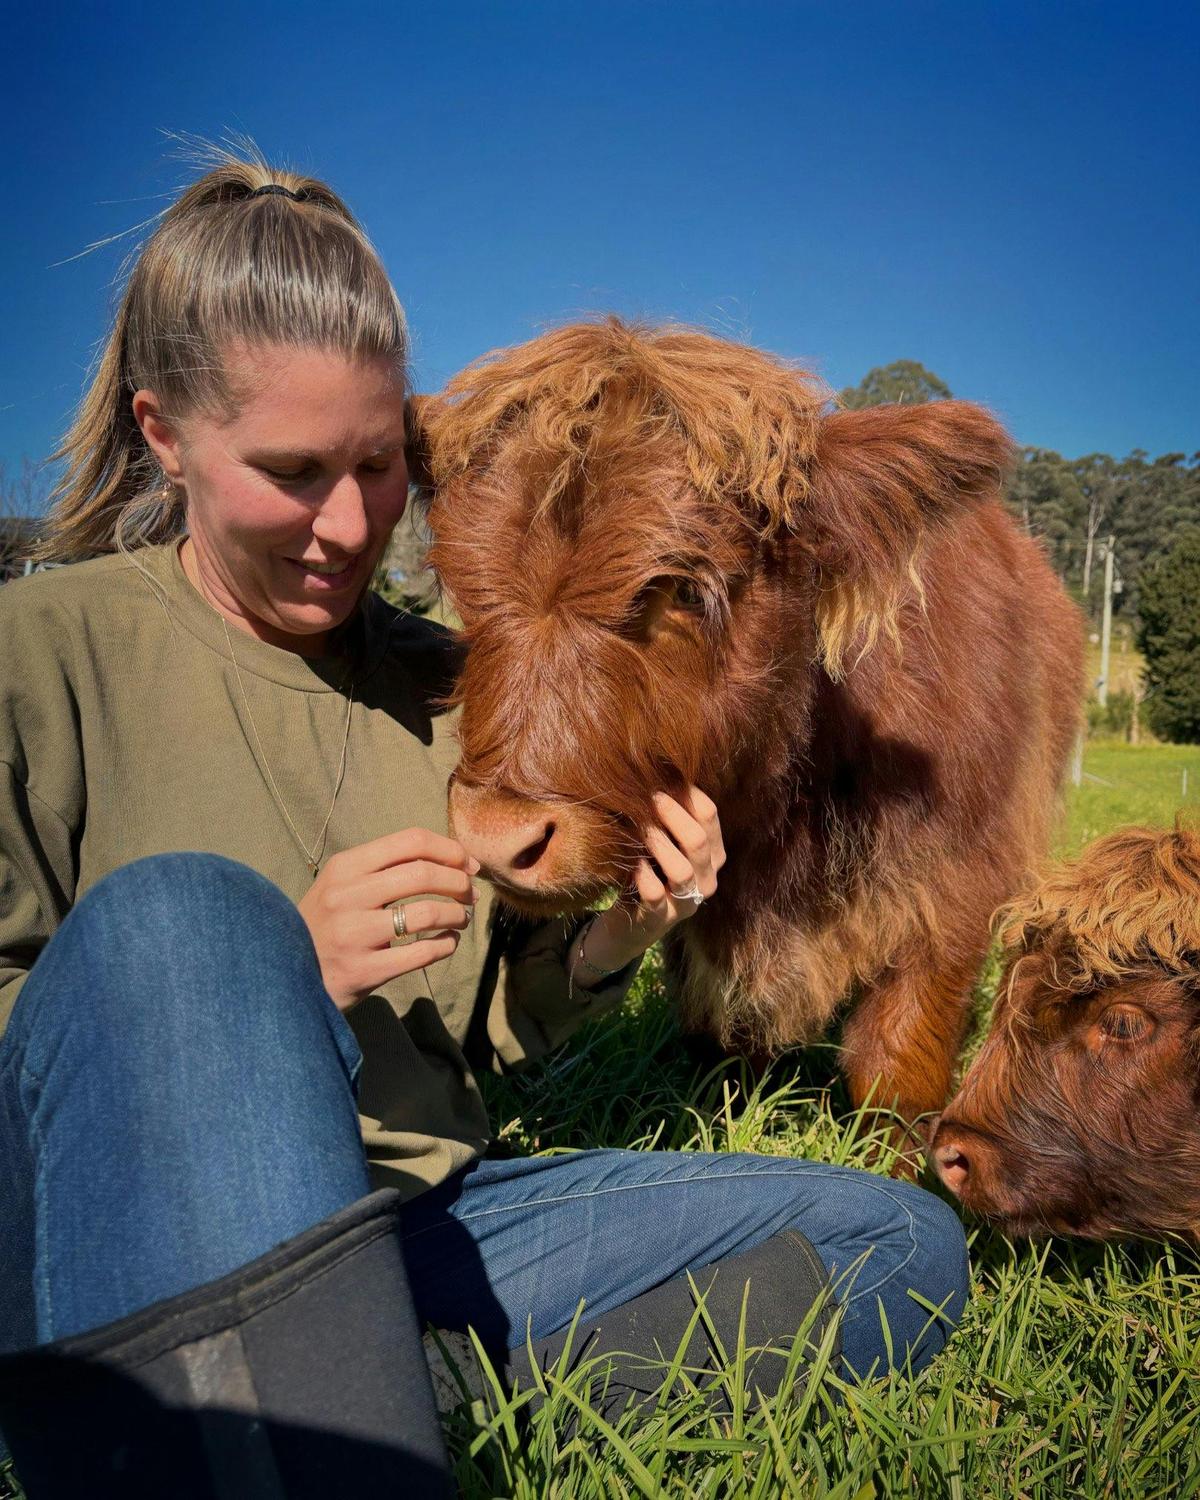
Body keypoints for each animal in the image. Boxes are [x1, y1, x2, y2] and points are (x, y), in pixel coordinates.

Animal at [409, 318, 1084, 1155]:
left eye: (680, 588)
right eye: (462, 586)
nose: (497, 835)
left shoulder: (955, 889)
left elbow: (897, 1063)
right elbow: (719, 1037)